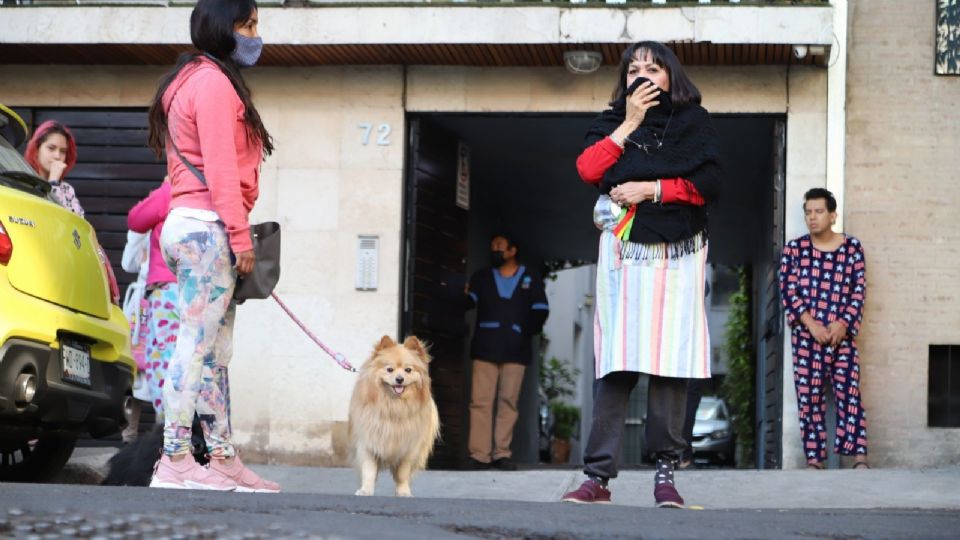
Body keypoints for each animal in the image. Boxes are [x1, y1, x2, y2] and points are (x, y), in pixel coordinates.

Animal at [350, 336, 440, 496]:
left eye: (408, 370)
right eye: (389, 369)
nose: (399, 379)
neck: (393, 405)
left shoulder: (408, 448)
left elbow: (403, 474)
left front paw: (403, 492)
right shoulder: (368, 443)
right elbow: (369, 471)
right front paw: (366, 490)